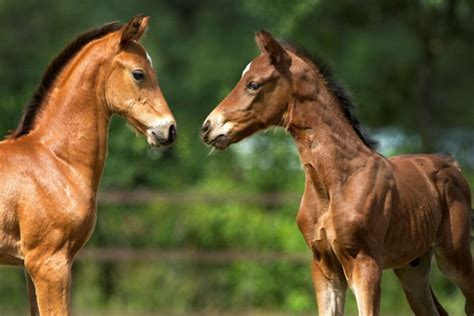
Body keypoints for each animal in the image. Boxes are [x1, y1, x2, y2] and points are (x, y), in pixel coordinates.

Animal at [201, 30, 474, 316]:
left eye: (253, 84)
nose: (207, 127)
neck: (333, 184)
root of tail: (450, 161)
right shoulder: (324, 267)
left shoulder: (365, 264)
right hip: (412, 267)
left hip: (454, 256)